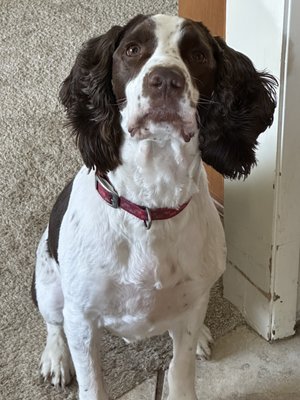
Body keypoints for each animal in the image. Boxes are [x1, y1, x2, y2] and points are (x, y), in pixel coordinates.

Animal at [32, 13, 276, 400]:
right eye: (132, 50)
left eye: (198, 55)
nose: (165, 80)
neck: (151, 203)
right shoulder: (82, 319)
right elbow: (92, 382)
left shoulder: (191, 305)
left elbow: (180, 367)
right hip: (48, 284)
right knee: (54, 322)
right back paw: (56, 357)